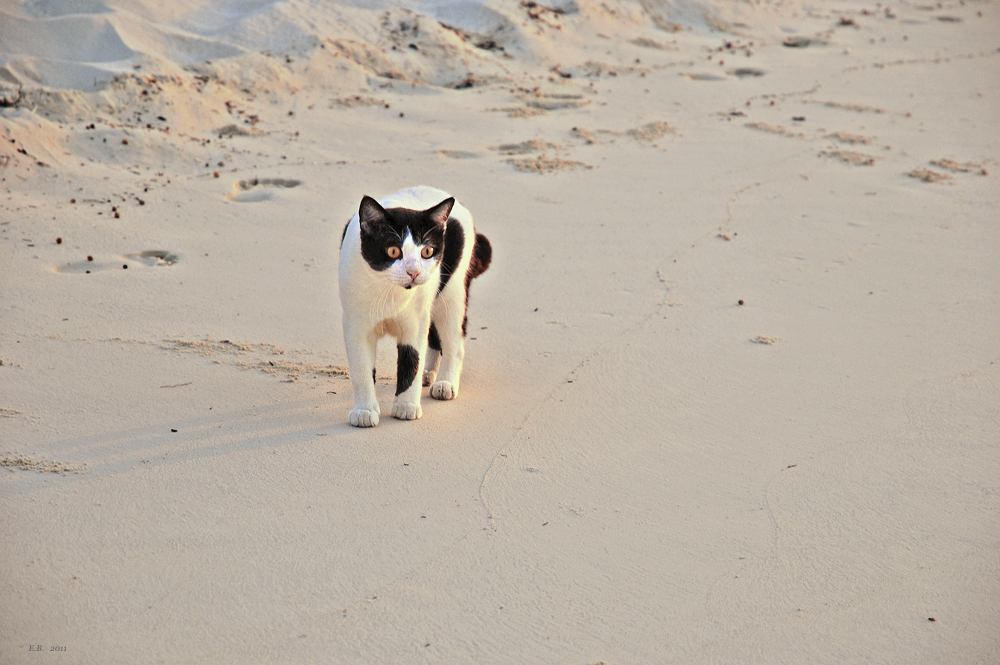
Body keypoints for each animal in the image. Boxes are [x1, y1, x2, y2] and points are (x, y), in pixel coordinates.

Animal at [338, 184, 490, 428]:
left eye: (427, 251)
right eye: (393, 251)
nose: (414, 272)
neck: (391, 293)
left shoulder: (414, 323)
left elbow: (411, 362)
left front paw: (406, 406)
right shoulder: (356, 324)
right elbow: (362, 368)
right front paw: (364, 410)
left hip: (451, 295)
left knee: (454, 341)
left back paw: (445, 382)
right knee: (435, 337)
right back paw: (430, 372)